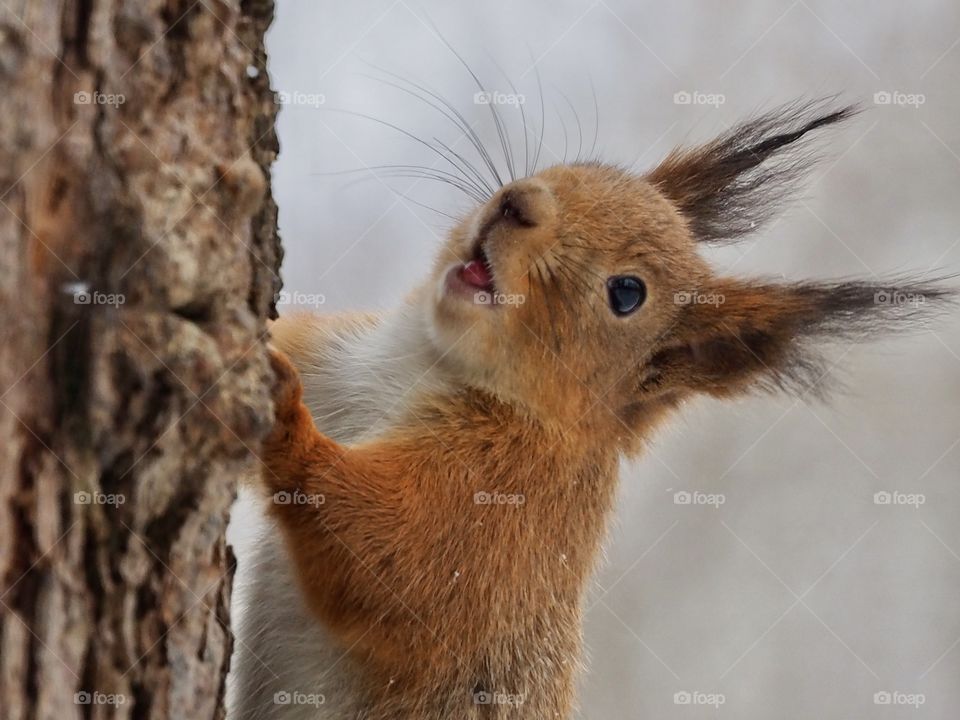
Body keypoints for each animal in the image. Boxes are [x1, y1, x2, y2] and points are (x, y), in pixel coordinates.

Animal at [226, 102, 950, 719]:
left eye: (626, 293)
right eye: (593, 168)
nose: (519, 203)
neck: (423, 360)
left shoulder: (501, 504)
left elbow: (388, 555)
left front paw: (286, 423)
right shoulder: (340, 362)